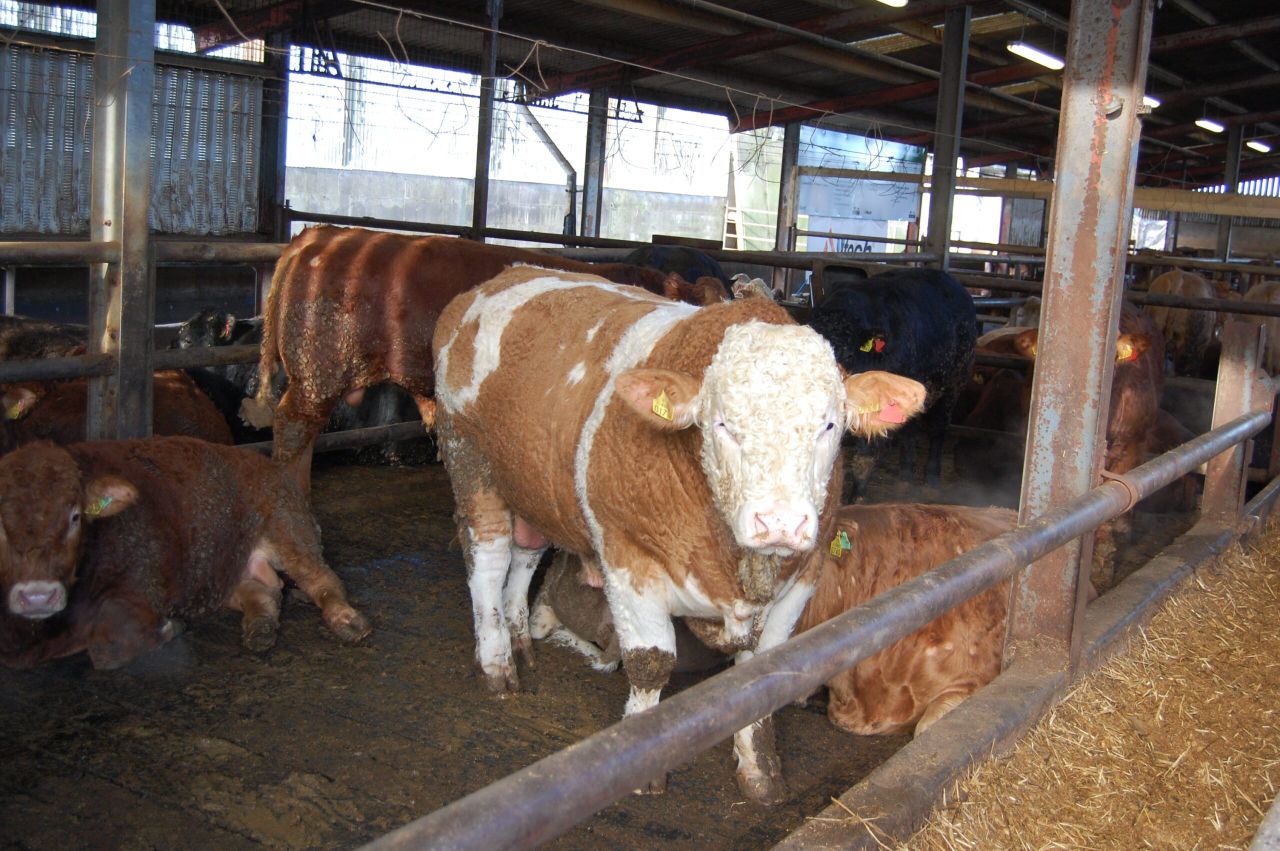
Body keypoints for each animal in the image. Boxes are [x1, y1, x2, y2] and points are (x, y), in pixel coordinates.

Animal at [0, 437, 370, 670]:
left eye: (75, 515)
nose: (37, 595)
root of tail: (270, 465)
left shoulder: (140, 592)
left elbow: (108, 649)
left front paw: (172, 626)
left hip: (290, 529)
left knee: (323, 582)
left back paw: (348, 622)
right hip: (218, 575)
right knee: (264, 591)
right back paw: (260, 629)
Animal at [431, 264, 927, 802]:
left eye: (830, 425)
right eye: (722, 423)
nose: (778, 522)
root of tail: (502, 276)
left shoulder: (806, 574)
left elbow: (765, 672)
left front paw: (760, 772)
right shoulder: (627, 554)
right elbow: (650, 662)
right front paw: (643, 761)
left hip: (534, 484)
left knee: (526, 555)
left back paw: (521, 638)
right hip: (469, 460)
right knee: (488, 560)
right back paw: (497, 662)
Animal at [807, 267, 977, 499]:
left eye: (848, 354)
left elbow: (864, 457)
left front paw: (856, 498)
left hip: (953, 385)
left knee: (938, 428)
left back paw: (931, 480)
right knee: (909, 430)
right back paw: (904, 478)